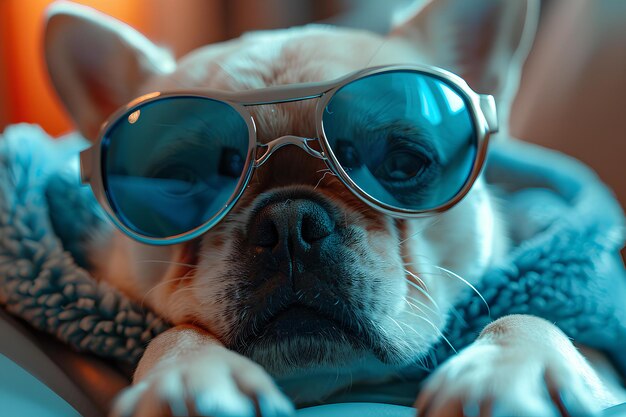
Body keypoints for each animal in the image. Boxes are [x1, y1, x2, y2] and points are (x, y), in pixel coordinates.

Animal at [45, 0, 624, 416]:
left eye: (403, 163)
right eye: (181, 181)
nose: (288, 223)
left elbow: (528, 315)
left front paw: (509, 368)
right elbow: (177, 331)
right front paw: (188, 373)